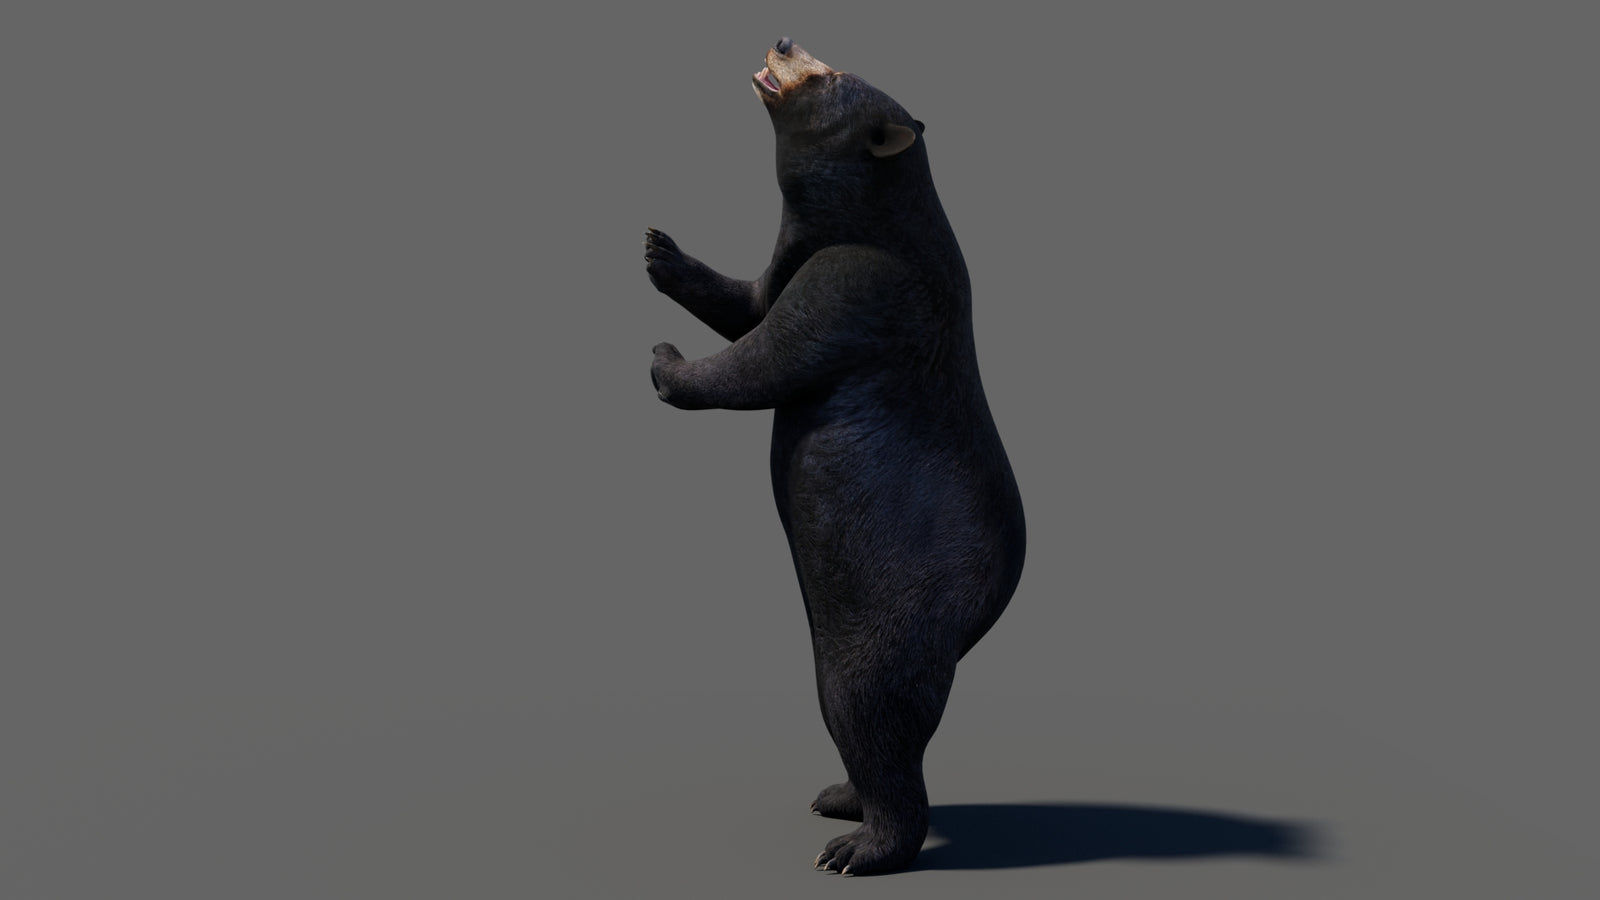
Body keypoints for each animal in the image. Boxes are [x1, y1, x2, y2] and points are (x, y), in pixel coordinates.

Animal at [645, 36, 1025, 875]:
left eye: (830, 76)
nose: (786, 40)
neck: (872, 213)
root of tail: (980, 616)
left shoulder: (862, 279)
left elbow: (770, 353)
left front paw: (664, 362)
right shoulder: (800, 254)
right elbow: (750, 299)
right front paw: (658, 251)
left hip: (890, 616)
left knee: (870, 710)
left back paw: (858, 847)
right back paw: (837, 797)